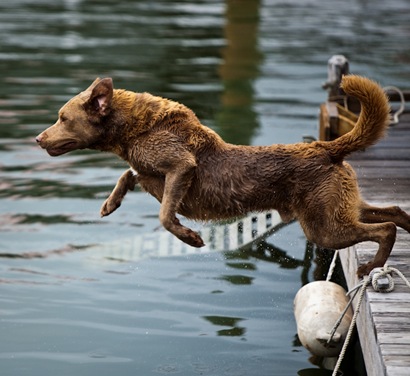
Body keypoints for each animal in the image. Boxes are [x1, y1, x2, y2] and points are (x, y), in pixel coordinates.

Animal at [36, 76, 410, 276]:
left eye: (62, 118)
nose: (38, 139)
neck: (135, 129)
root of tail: (326, 147)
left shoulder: (181, 167)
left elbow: (164, 215)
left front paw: (191, 238)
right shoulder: (147, 172)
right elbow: (128, 175)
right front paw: (109, 204)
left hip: (323, 227)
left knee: (384, 229)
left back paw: (371, 265)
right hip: (339, 207)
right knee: (393, 212)